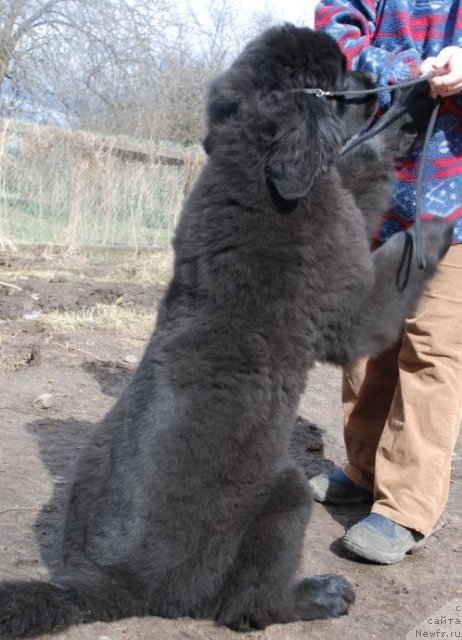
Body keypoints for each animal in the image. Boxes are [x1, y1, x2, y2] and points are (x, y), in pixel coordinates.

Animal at [0, 23, 452, 636]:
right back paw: (318, 595)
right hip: (284, 494)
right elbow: (377, 206)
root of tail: (109, 585)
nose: (374, 74)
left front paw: (417, 101)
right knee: (247, 607)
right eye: (340, 78)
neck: (252, 165)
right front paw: (433, 225)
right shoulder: (350, 310)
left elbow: (361, 161)